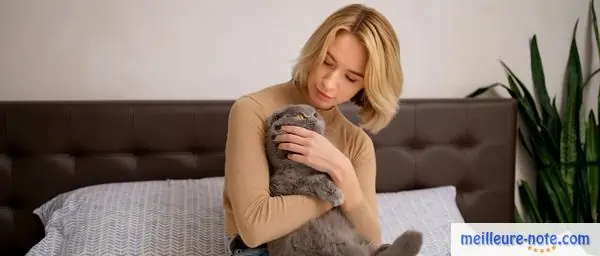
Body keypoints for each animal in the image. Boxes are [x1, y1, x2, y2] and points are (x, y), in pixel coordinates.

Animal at [262, 104, 422, 256]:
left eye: (315, 114)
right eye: (300, 116)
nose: (315, 119)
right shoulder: (281, 185)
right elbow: (314, 179)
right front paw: (335, 195)